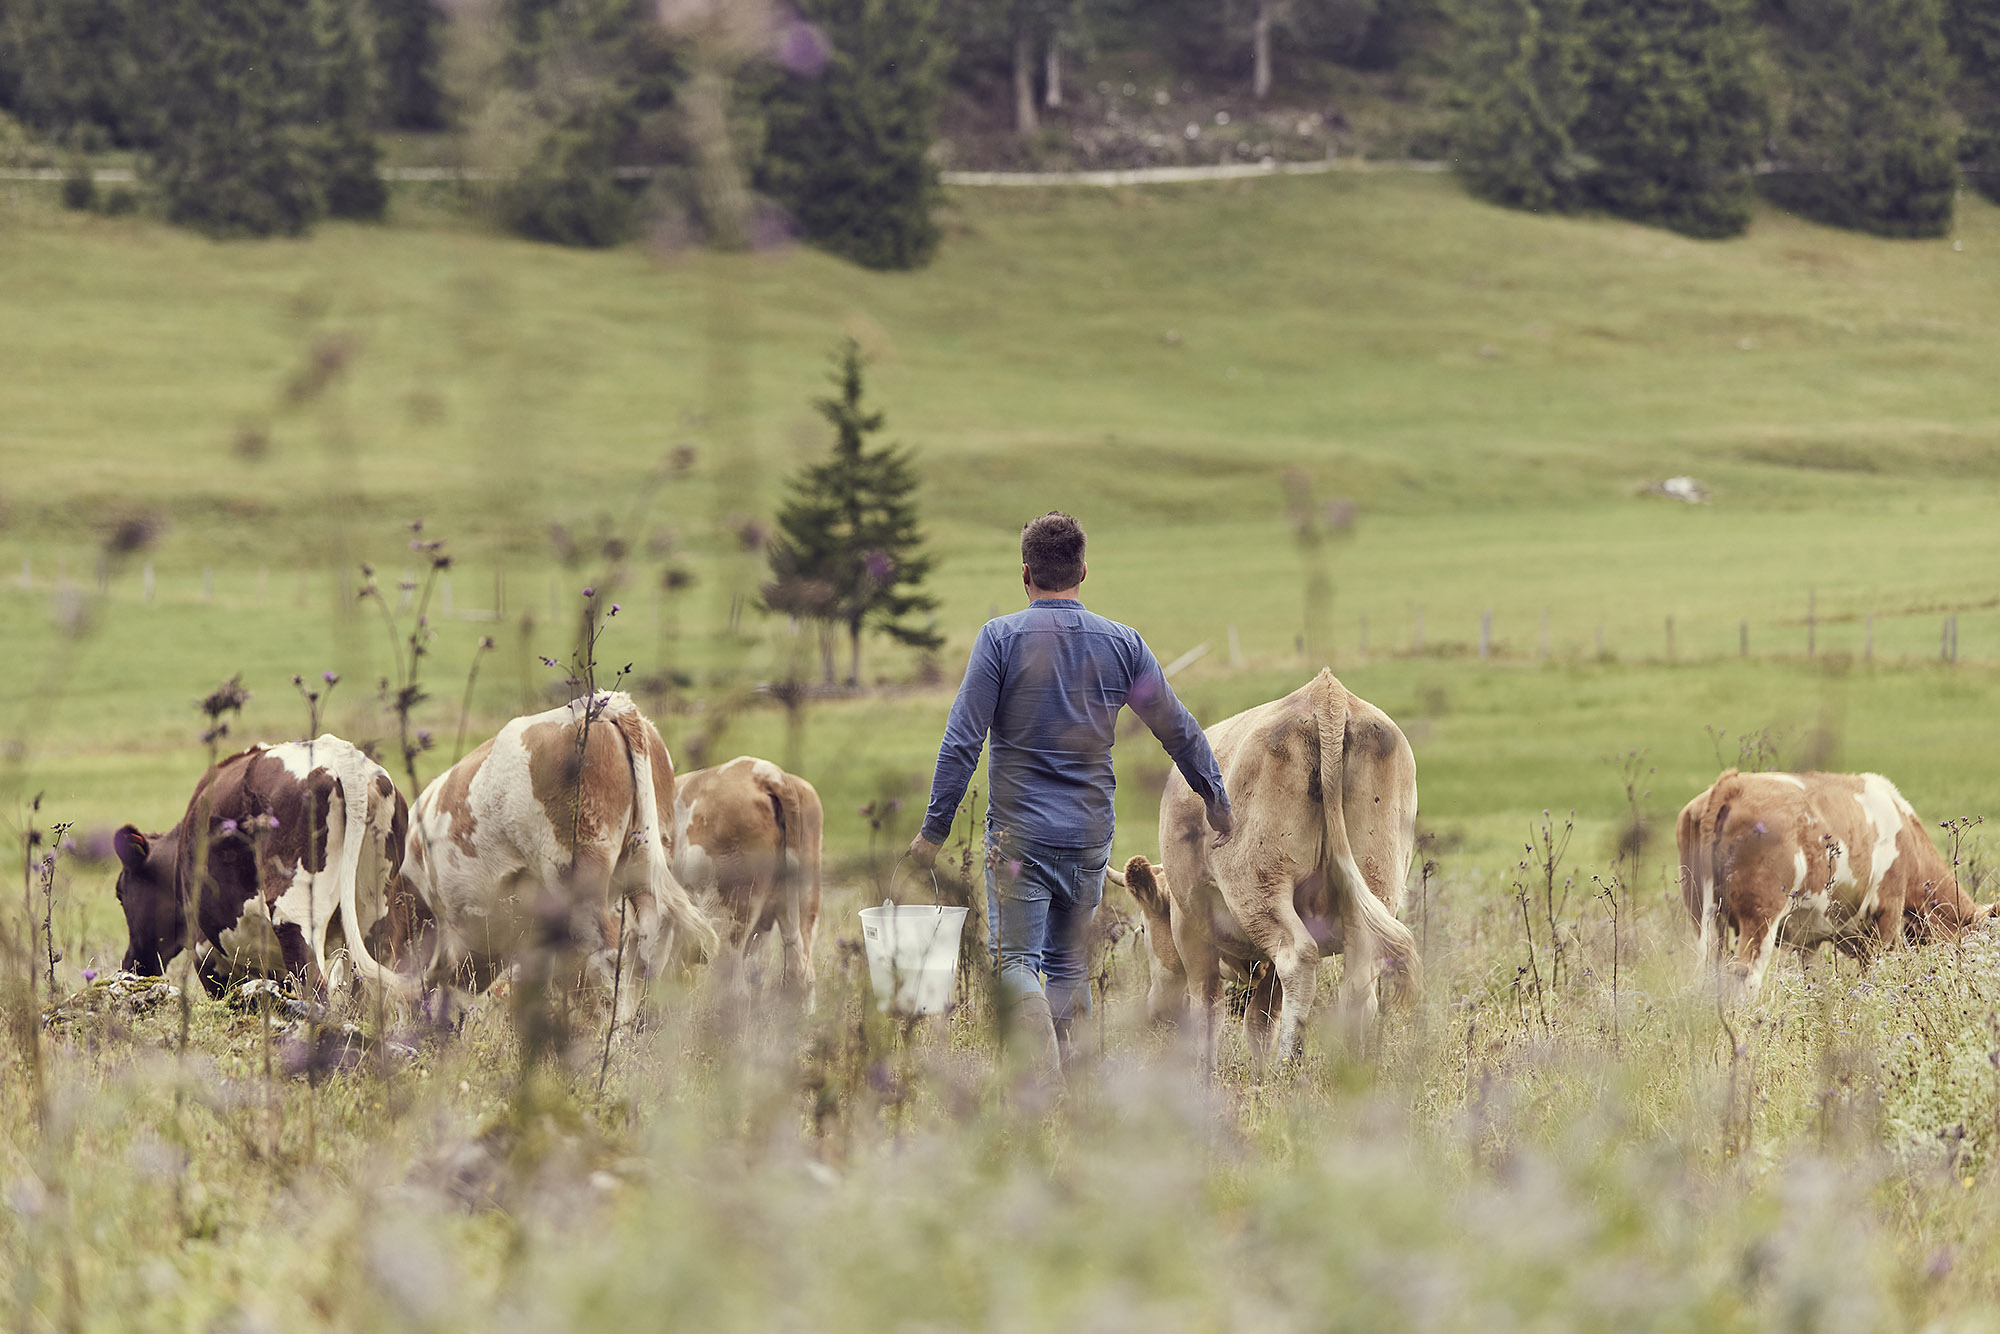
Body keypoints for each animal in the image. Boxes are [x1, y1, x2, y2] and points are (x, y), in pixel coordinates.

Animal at [113, 740, 418, 1000]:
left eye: (120, 894)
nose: (131, 964)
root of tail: (343, 756)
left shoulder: (207, 954)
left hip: (293, 914)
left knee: (316, 985)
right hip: (375, 921)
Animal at [1112, 668, 1424, 1072]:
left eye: (1144, 928)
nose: (1155, 1013)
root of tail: (1327, 694)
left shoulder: (1190, 925)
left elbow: (1208, 1006)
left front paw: (1204, 1070)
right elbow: (1261, 1020)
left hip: (1259, 888)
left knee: (1297, 958)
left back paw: (1288, 1063)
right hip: (1377, 883)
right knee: (1358, 981)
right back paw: (1349, 1070)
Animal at [1680, 760, 1992, 1000]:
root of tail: (1731, 784)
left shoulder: (1808, 941)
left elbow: (1813, 987)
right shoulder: (1887, 911)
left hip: (1702, 917)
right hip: (1759, 918)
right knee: (1745, 979)